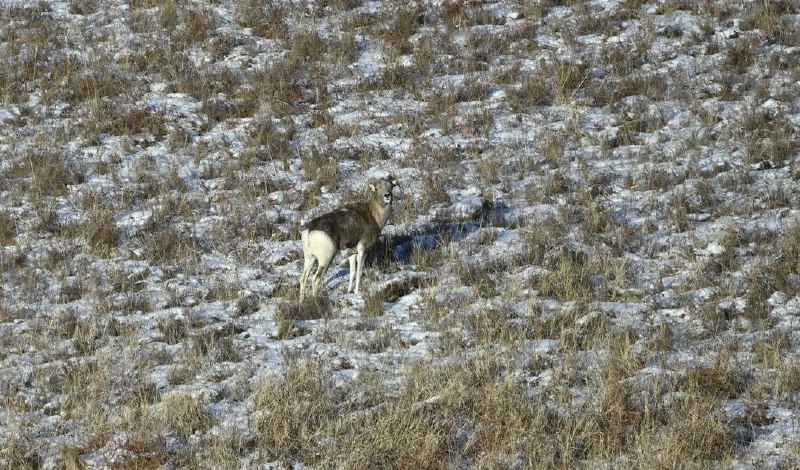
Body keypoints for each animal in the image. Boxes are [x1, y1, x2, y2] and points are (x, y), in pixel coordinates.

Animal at [298, 173, 398, 302]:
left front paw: (350, 291)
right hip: (326, 260)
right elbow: (359, 272)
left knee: (303, 279)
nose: (387, 196)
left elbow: (352, 272)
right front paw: (356, 292)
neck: (375, 215)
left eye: (390, 186)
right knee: (316, 279)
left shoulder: (352, 253)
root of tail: (310, 231)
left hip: (310, 259)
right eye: (377, 188)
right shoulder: (362, 250)